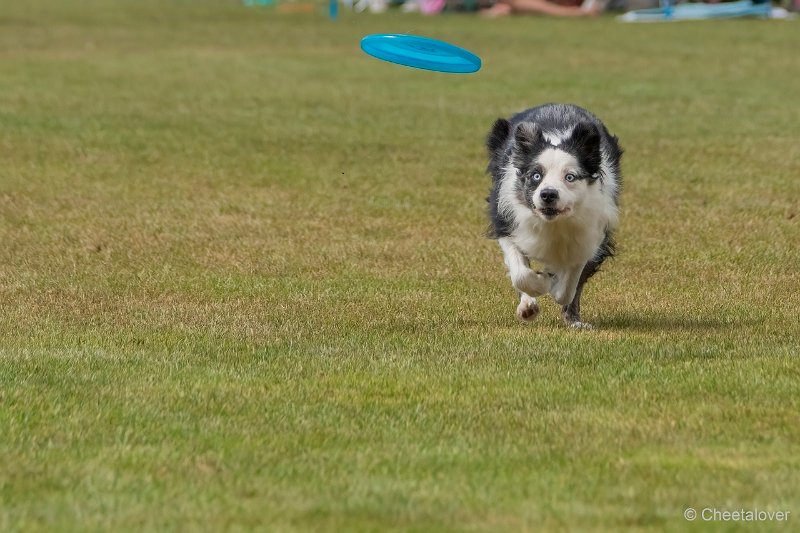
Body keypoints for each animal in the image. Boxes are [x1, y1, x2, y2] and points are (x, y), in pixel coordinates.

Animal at [484, 103, 620, 328]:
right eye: (536, 175)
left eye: (570, 177)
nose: (548, 194)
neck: (554, 222)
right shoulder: (507, 223)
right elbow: (521, 274)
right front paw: (540, 285)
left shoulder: (591, 234)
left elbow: (568, 288)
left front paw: (553, 284)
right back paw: (528, 306)